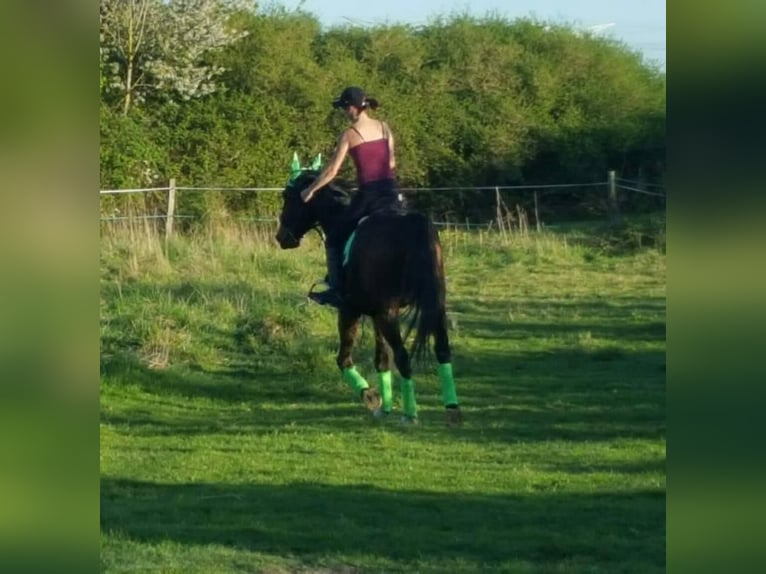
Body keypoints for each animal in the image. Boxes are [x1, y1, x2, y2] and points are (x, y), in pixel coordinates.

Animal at [280, 169, 464, 426]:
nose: (281, 237)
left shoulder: (351, 310)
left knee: (403, 357)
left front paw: (370, 396)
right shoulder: (378, 313)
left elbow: (343, 358)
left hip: (386, 314)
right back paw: (452, 409)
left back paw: (410, 414)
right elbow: (381, 359)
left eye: (287, 197)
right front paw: (385, 407)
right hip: (432, 306)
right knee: (442, 350)